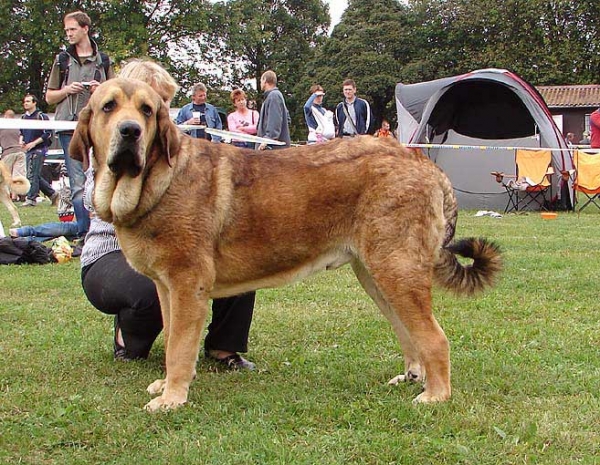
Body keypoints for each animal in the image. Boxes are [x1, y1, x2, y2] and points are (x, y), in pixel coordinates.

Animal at [70, 79, 502, 410]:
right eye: (108, 107)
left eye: (146, 110)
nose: (130, 131)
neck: (158, 180)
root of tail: (421, 162)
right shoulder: (166, 288)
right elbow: (173, 340)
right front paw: (167, 386)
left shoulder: (187, 286)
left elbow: (178, 347)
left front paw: (172, 398)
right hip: (377, 276)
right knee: (409, 332)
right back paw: (414, 378)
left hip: (397, 270)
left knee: (434, 337)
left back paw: (436, 395)